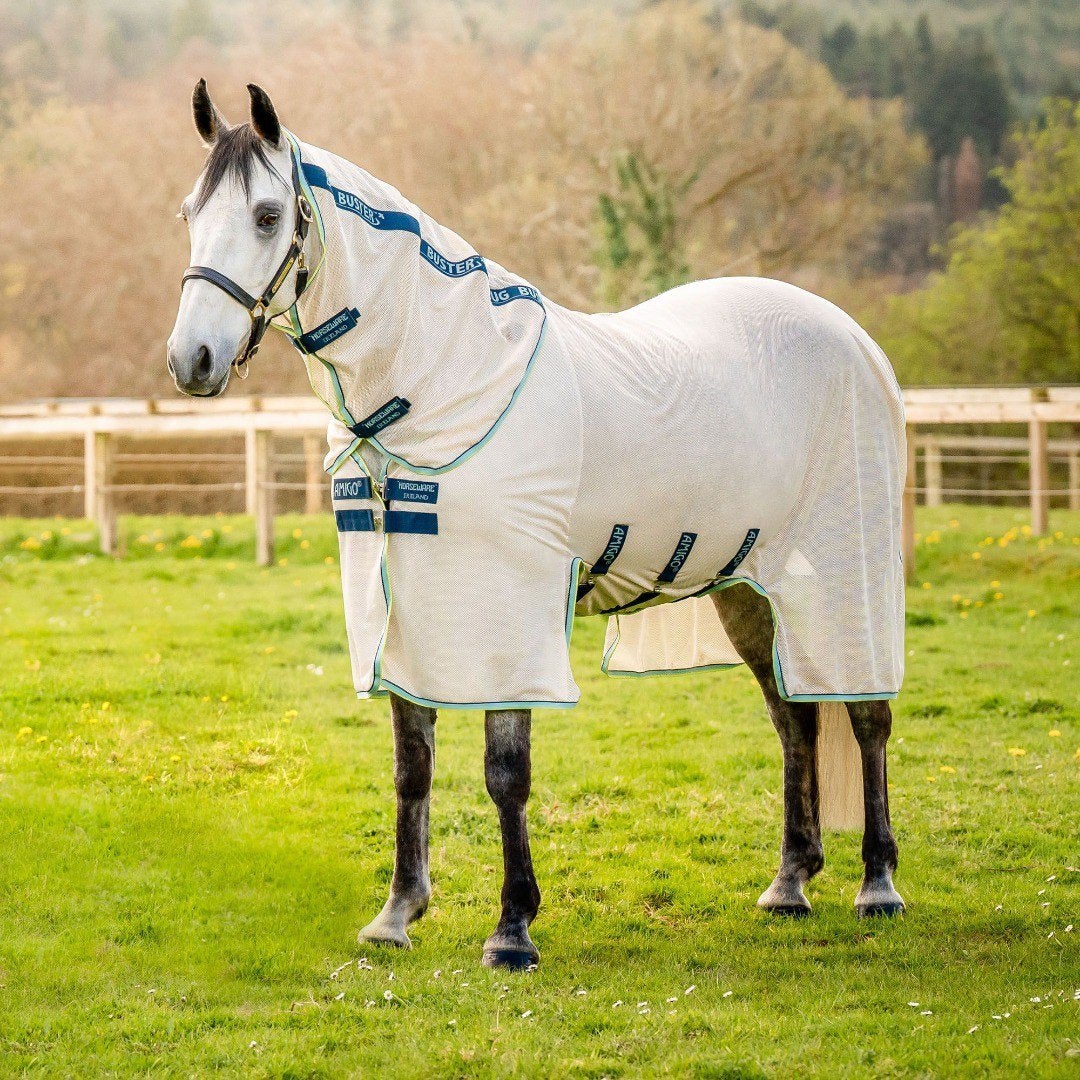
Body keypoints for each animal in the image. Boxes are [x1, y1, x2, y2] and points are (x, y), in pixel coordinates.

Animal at [168, 82, 906, 970]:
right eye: (189, 213)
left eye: (269, 214)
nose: (191, 361)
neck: (447, 377)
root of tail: (851, 336)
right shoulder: (404, 605)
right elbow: (412, 765)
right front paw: (397, 913)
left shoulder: (508, 607)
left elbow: (504, 771)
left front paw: (512, 929)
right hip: (749, 589)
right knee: (795, 720)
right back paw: (790, 883)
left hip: (846, 575)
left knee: (866, 715)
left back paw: (878, 884)